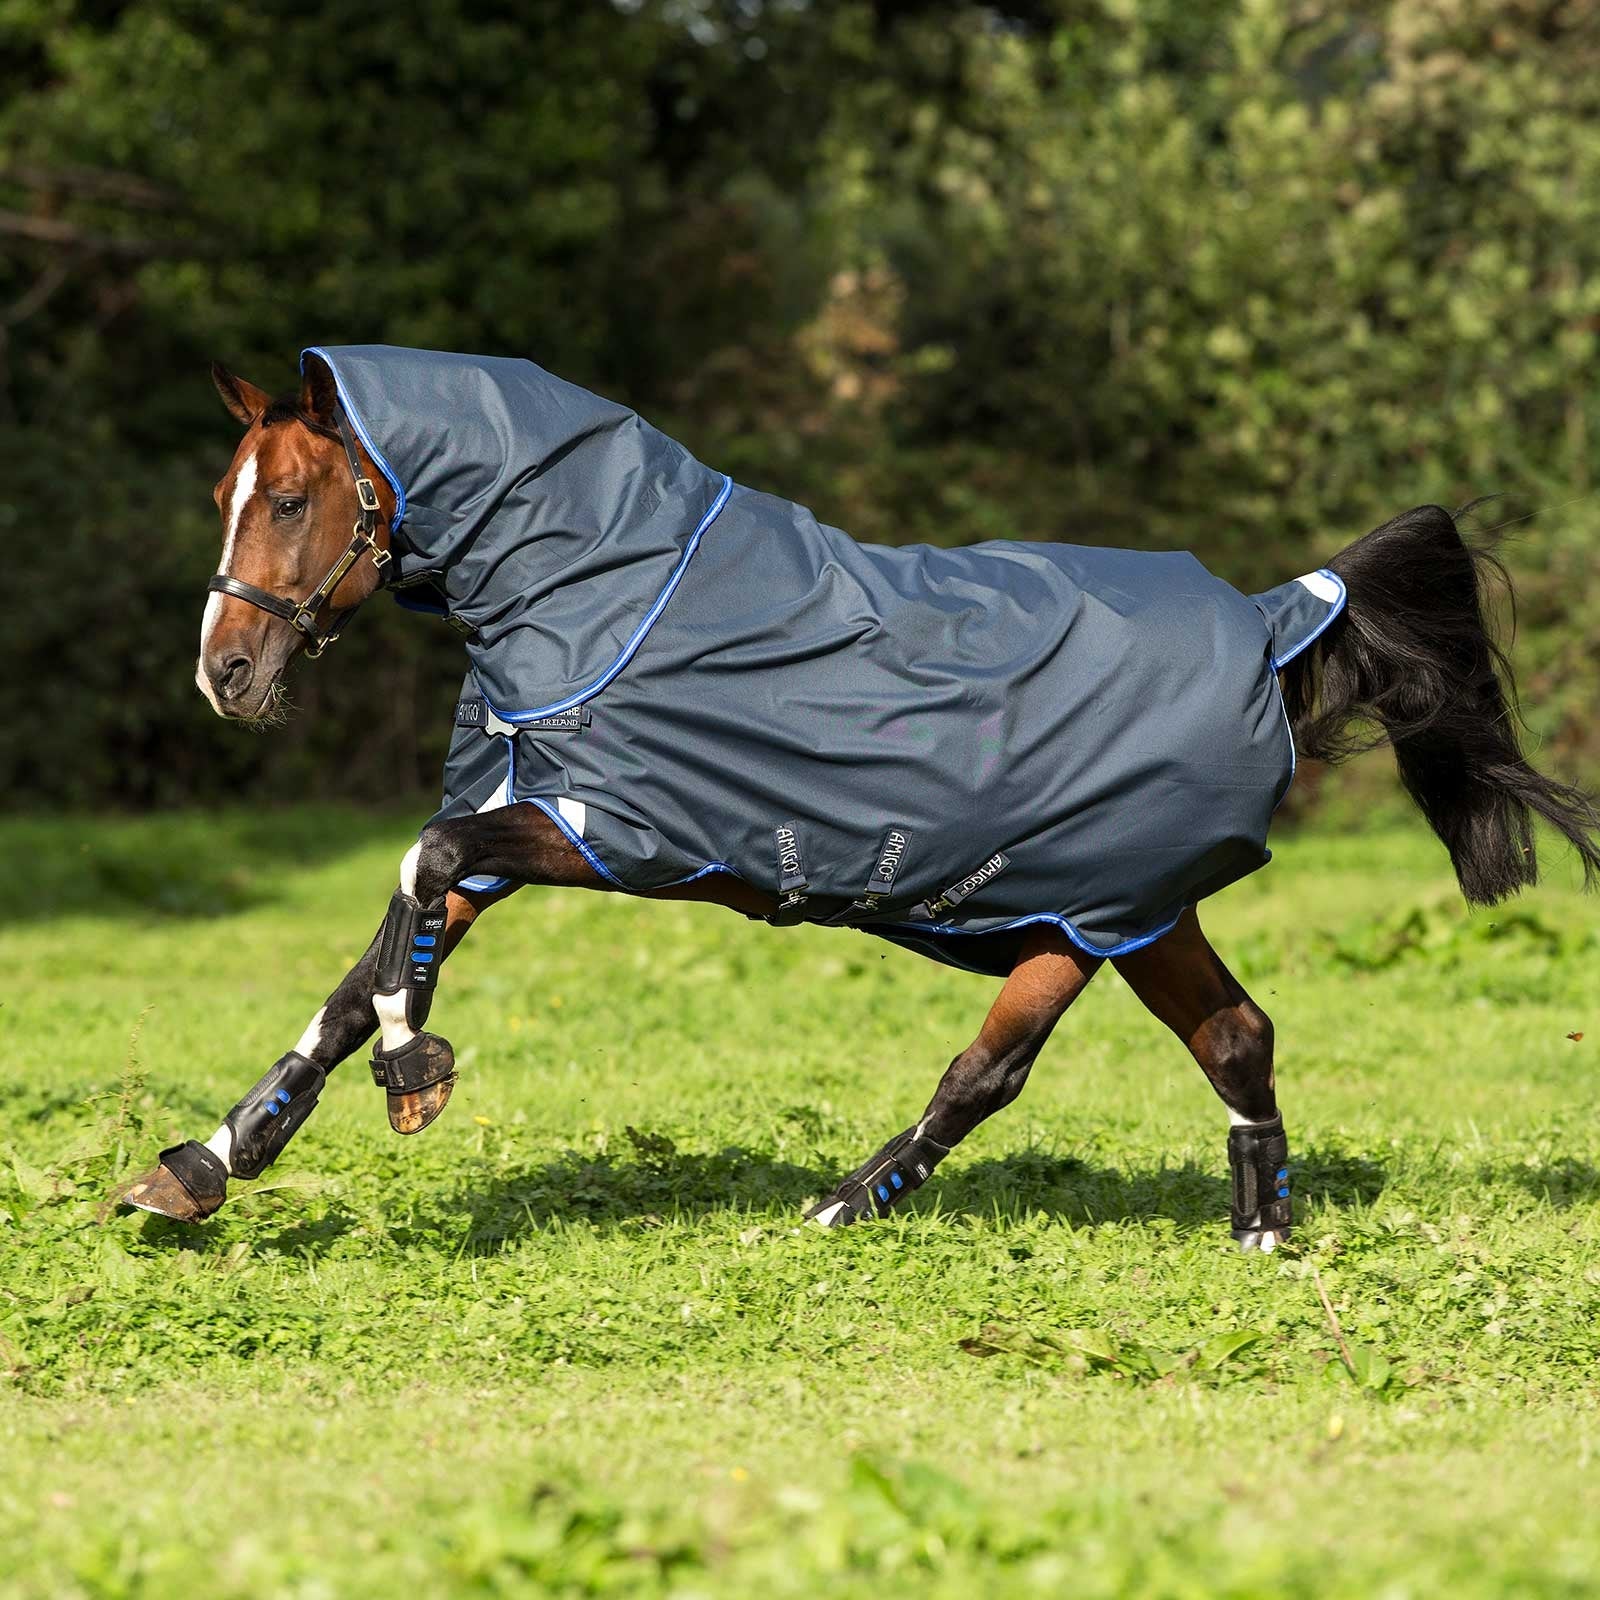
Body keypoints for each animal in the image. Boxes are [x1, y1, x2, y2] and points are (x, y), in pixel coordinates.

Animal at [122, 346, 1600, 1251]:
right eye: (228, 492)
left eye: (294, 498)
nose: (224, 673)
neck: (609, 581)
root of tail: (1276, 621)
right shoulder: (531, 821)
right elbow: (371, 952)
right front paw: (205, 1165)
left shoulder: (611, 834)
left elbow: (417, 874)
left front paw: (412, 1074)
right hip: (1114, 915)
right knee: (1219, 1039)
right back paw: (1249, 1232)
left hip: (1104, 910)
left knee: (1014, 1064)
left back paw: (854, 1210)